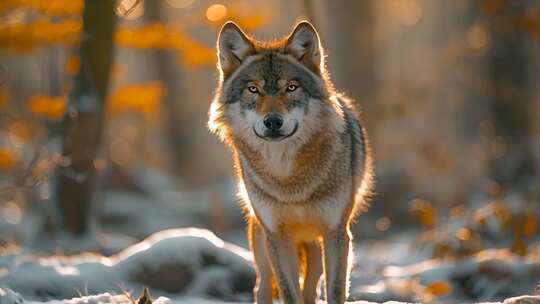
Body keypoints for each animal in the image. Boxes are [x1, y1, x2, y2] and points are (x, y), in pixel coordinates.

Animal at [209, 21, 374, 304]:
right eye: (253, 89)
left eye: (291, 87)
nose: (273, 121)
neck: (288, 177)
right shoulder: (277, 236)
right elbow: (288, 292)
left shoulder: (336, 232)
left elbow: (334, 291)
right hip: (262, 243)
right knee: (262, 287)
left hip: (314, 246)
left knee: (310, 290)